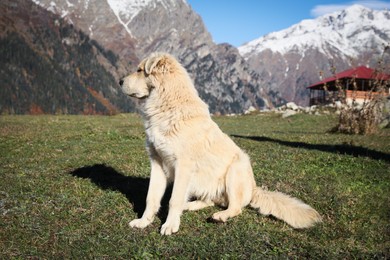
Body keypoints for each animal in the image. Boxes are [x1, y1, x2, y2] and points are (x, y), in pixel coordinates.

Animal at [120, 52, 322, 236]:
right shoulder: (157, 162)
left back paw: (220, 216)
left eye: (140, 70)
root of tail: (254, 189)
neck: (168, 105)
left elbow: (174, 199)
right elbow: (151, 197)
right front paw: (143, 221)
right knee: (209, 200)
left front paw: (170, 225)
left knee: (235, 207)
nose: (120, 81)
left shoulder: (183, 166)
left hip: (234, 170)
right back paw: (190, 205)